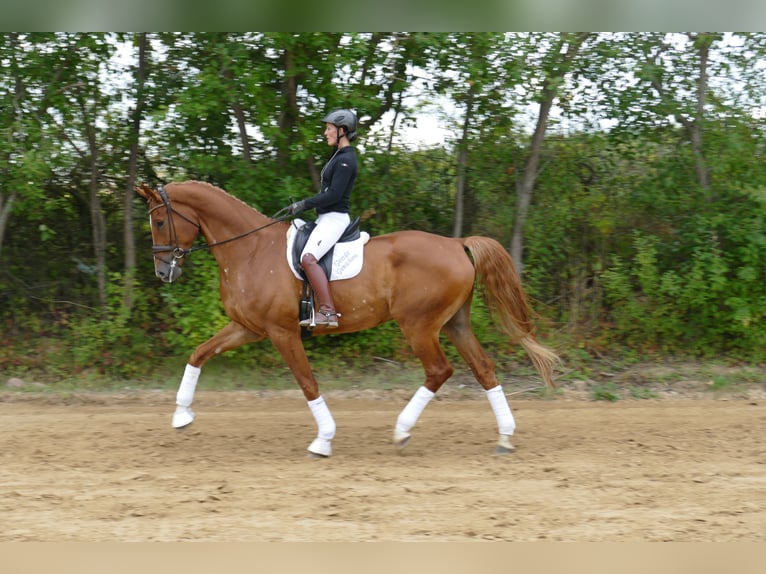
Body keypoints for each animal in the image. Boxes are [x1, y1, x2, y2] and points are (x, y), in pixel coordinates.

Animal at [136, 181, 559, 457]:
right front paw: (181, 415)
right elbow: (199, 353)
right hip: (454, 323)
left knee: (439, 370)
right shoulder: (248, 328)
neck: (251, 249)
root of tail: (456, 244)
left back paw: (401, 431)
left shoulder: (281, 331)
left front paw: (323, 440)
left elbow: (307, 383)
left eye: (159, 222)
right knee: (484, 369)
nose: (163, 272)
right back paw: (504, 437)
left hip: (419, 326)